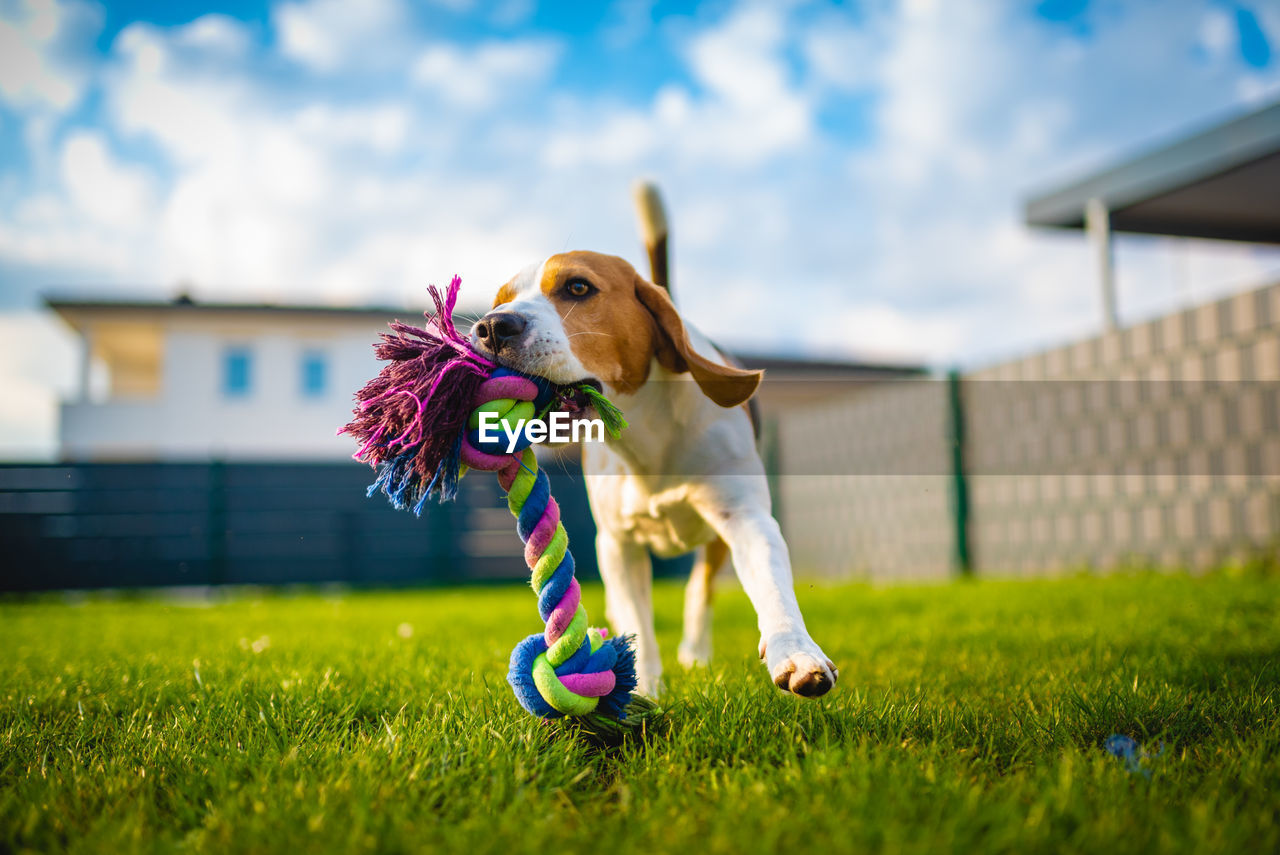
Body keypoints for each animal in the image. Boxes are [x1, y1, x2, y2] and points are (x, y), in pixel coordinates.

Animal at [471, 250, 839, 696]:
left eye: (577, 287)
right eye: (499, 301)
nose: (491, 327)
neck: (646, 442)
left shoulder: (747, 519)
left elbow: (772, 587)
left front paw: (797, 655)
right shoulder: (618, 544)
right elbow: (637, 621)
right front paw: (642, 688)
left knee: (700, 590)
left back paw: (696, 655)